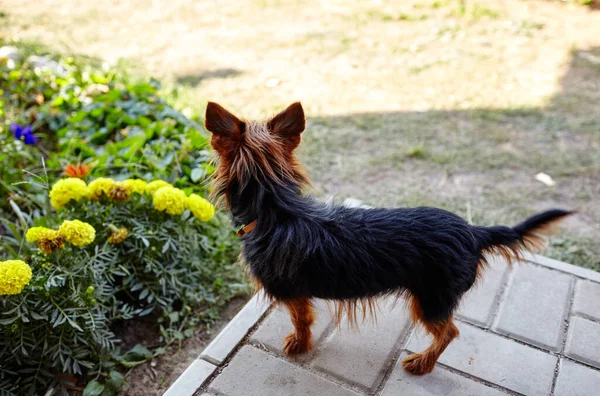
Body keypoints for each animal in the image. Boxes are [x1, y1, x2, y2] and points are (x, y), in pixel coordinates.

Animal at [204, 101, 576, 374]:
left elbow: (302, 319)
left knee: (450, 332)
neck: (274, 207)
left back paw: (423, 362)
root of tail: (473, 231)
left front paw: (299, 344)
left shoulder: (292, 293)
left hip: (431, 299)